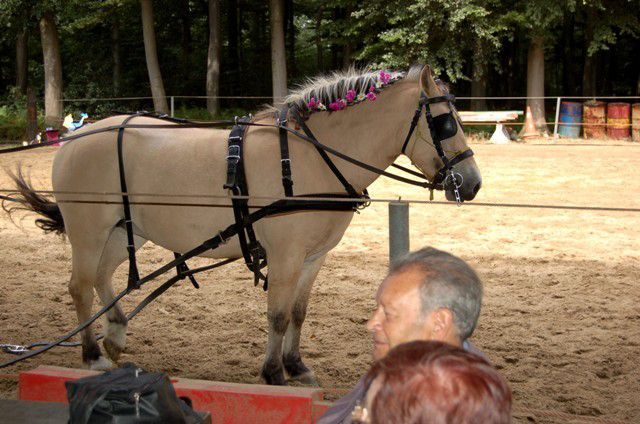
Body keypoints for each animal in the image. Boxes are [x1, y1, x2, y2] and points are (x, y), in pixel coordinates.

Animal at [8, 64, 481, 385]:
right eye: (444, 122)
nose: (472, 183)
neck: (310, 157)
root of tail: (74, 138)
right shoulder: (286, 255)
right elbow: (277, 314)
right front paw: (273, 372)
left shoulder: (313, 256)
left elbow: (298, 312)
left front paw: (296, 365)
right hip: (89, 229)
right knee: (80, 285)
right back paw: (92, 355)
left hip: (127, 230)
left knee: (103, 278)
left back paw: (117, 333)